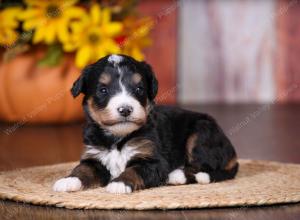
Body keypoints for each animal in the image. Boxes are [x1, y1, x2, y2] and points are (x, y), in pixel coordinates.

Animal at [52, 54, 238, 193]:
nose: (125, 109)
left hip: (201, 132)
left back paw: (176, 175)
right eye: (103, 90)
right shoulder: (95, 156)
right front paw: (68, 181)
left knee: (202, 165)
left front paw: (119, 183)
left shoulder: (153, 160)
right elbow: (82, 169)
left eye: (139, 89)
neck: (118, 138)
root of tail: (233, 155)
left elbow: (134, 170)